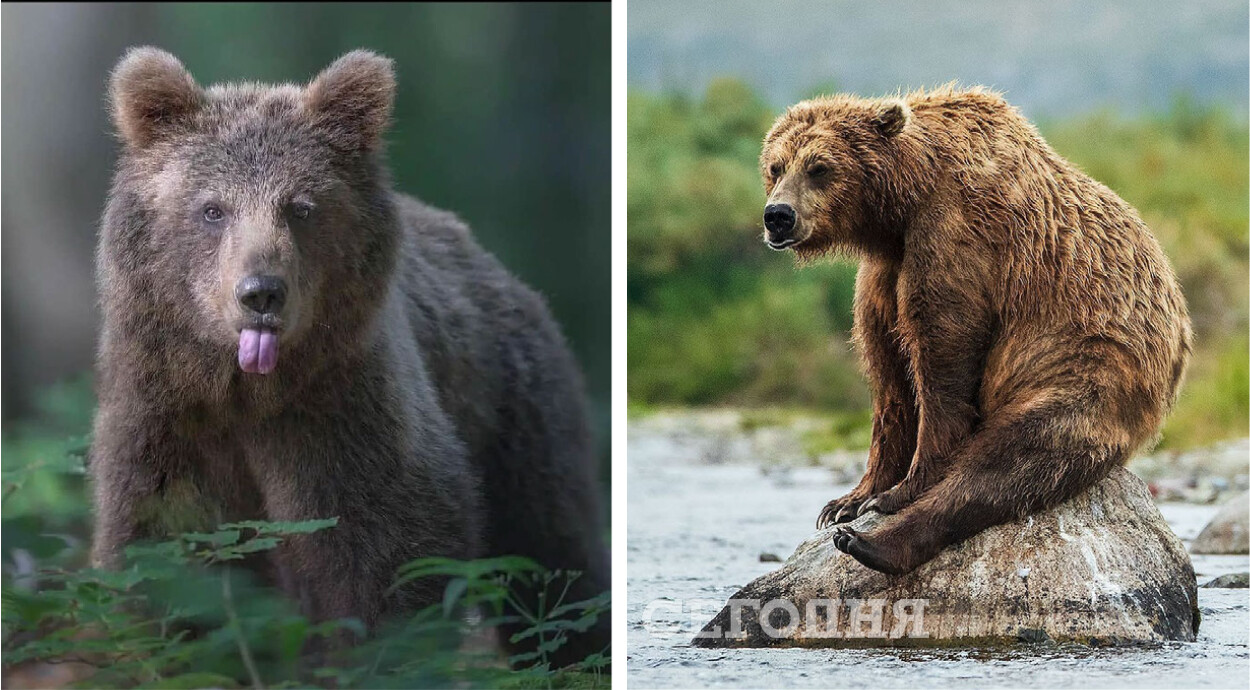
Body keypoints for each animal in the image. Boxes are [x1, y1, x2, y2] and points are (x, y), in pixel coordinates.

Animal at [760, 86, 1190, 575]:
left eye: (820, 167)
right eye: (776, 166)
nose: (778, 215)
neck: (903, 203)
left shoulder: (958, 237)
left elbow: (943, 358)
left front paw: (897, 491)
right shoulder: (883, 274)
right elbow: (889, 380)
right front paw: (847, 500)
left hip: (1087, 367)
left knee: (1016, 456)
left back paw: (873, 544)